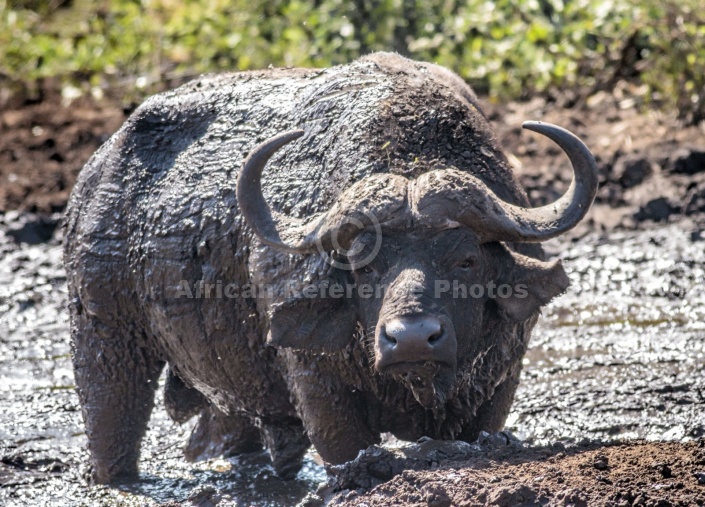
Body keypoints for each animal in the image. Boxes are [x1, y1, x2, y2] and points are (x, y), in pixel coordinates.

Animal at [64, 51, 592, 484]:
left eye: (467, 260)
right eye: (363, 266)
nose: (412, 339)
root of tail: (96, 173)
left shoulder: (495, 391)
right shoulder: (320, 392)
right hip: (103, 333)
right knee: (112, 421)